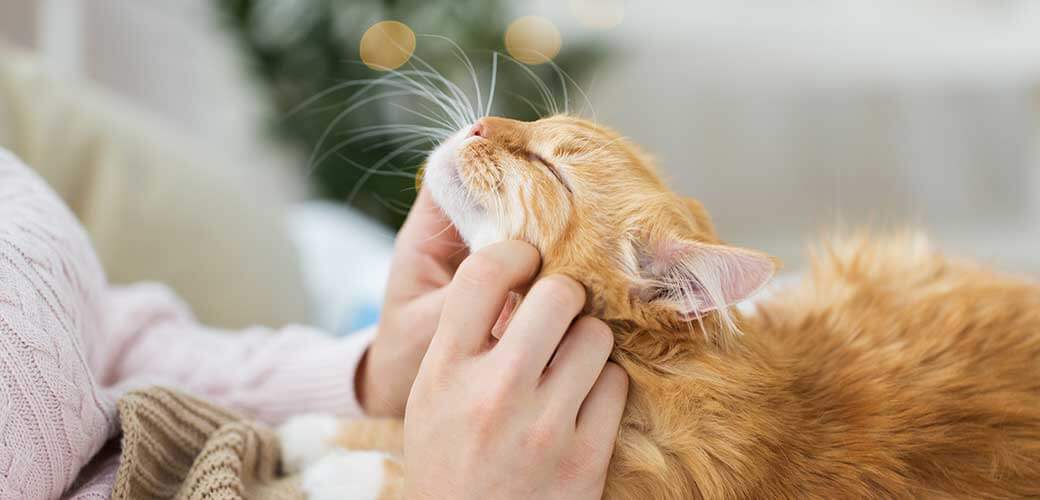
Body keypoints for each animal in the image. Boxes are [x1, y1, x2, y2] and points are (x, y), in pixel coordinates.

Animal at [278, 114, 1040, 496]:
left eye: (550, 165)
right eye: (527, 118)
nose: (477, 125)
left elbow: (401, 469)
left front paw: (337, 468)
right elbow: (393, 420)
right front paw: (312, 433)